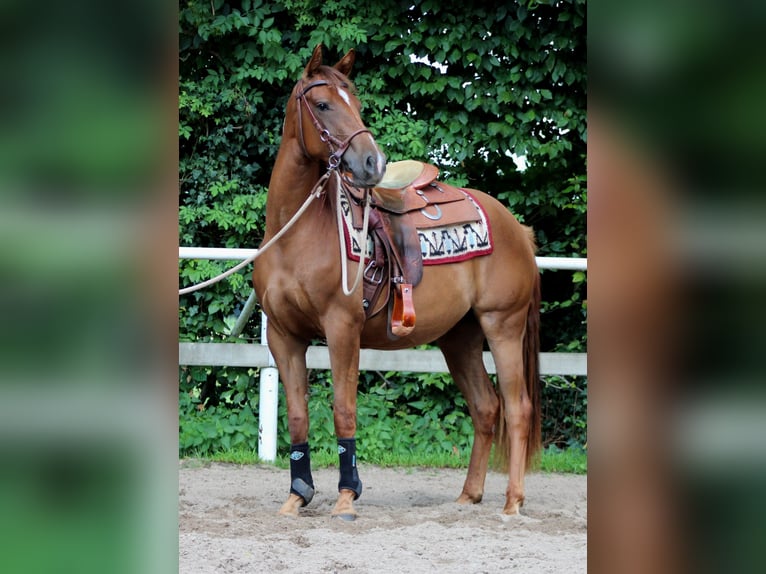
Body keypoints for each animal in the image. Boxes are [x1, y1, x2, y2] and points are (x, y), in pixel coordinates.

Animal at [252, 45, 541, 520]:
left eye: (356, 102)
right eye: (323, 104)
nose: (373, 163)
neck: (295, 233)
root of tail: (516, 227)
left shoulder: (342, 329)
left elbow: (343, 409)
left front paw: (347, 496)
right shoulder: (284, 335)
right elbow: (297, 416)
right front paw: (297, 496)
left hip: (503, 326)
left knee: (517, 408)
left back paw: (513, 502)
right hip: (459, 338)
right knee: (486, 407)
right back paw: (468, 495)